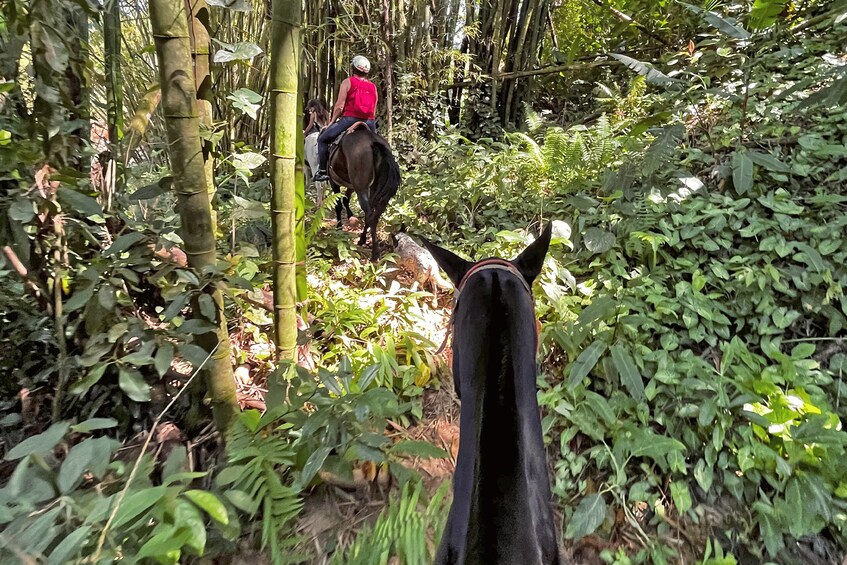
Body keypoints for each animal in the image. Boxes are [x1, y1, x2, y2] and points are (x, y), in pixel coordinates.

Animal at [328, 124, 400, 258]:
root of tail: (373, 141)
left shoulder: (333, 181)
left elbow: (338, 205)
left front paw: (339, 228)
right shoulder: (351, 185)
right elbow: (346, 198)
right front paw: (350, 216)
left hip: (361, 187)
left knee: (370, 212)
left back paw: (374, 253)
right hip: (372, 187)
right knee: (374, 213)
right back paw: (363, 240)